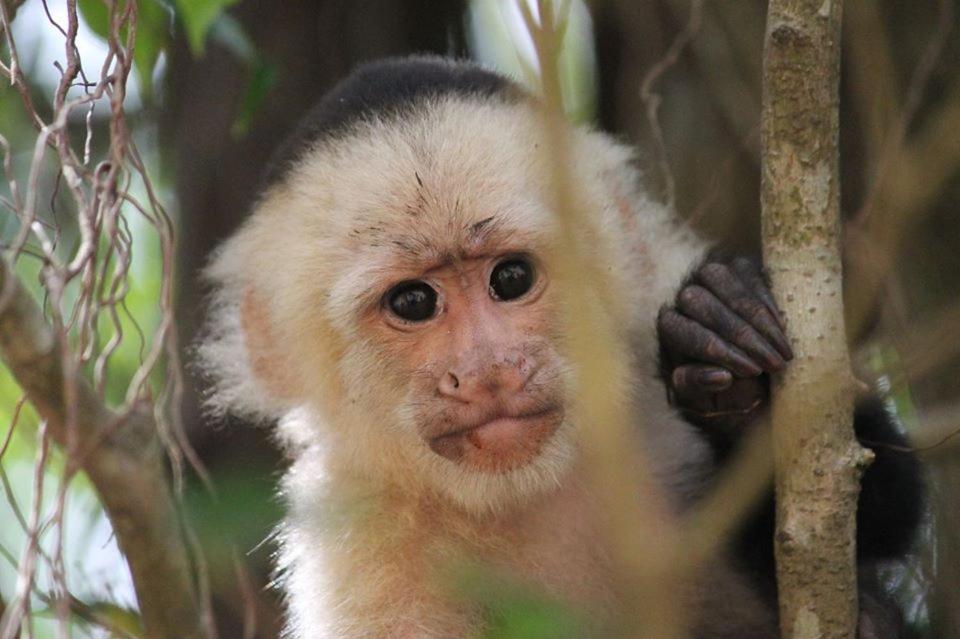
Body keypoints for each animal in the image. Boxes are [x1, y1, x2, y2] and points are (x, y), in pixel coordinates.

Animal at [197, 56, 924, 639]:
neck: (524, 494)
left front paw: (731, 362)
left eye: (511, 278)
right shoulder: (360, 551)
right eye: (412, 303)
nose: (488, 371)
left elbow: (881, 510)